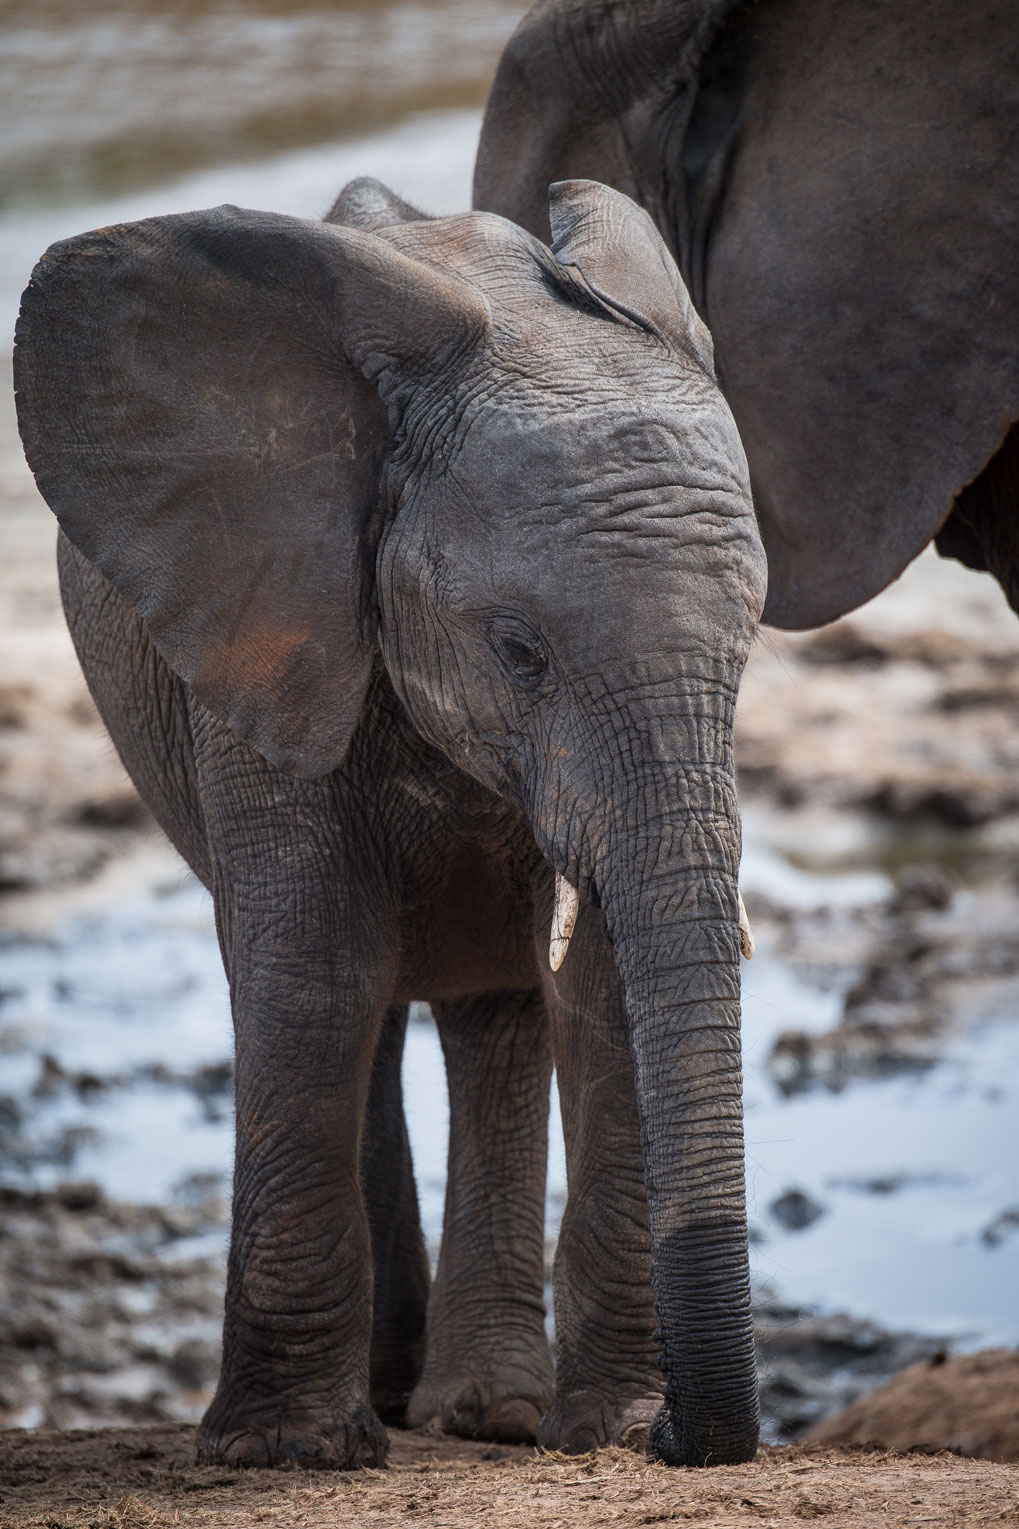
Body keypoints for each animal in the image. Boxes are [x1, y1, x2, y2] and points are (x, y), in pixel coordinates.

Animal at [15, 175, 761, 1467]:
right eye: (517, 650)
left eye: (749, 643)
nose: (679, 1435)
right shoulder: (271, 631)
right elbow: (315, 968)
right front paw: (284, 1451)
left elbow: (595, 974)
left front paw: (602, 1426)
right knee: (330, 990)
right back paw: (399, 1392)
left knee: (495, 1008)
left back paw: (484, 1409)